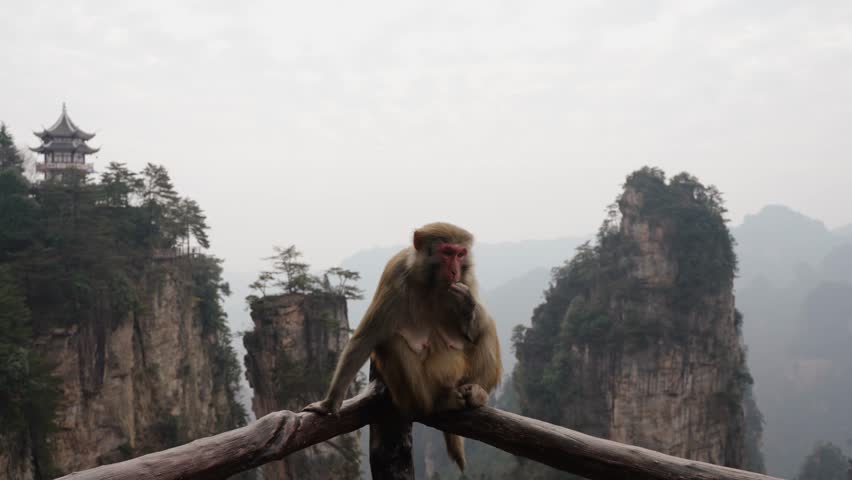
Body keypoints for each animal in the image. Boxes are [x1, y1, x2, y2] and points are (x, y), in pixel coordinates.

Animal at [303, 222, 502, 471]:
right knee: (390, 343)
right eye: (447, 252)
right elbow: (366, 339)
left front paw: (467, 306)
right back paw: (435, 404)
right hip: (421, 388)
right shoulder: (394, 272)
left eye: (460, 254)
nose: (454, 270)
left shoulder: (468, 279)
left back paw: (477, 392)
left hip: (461, 376)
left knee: (486, 326)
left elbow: (475, 328)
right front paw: (328, 405)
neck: (431, 282)